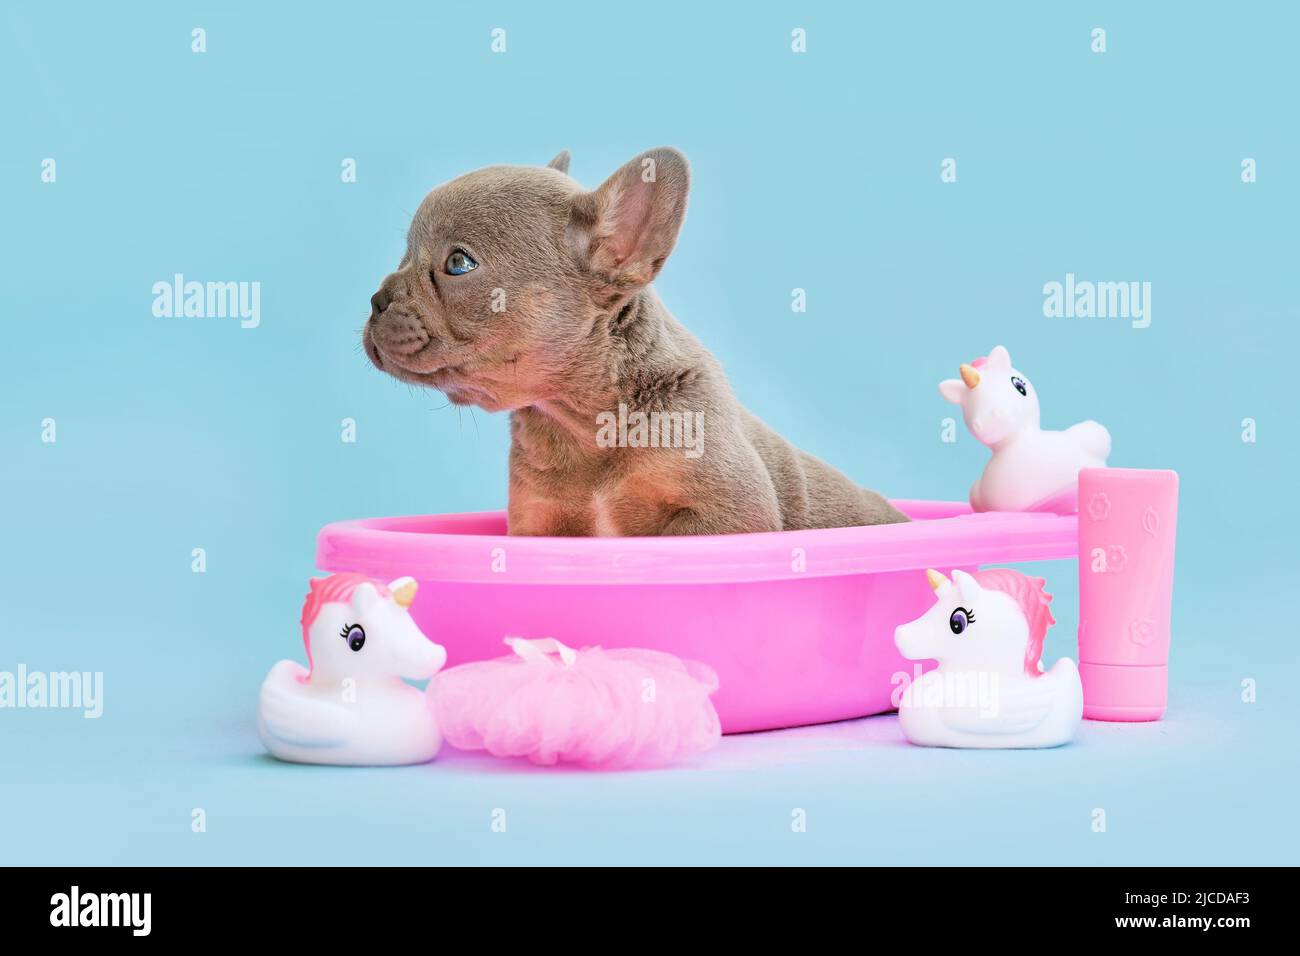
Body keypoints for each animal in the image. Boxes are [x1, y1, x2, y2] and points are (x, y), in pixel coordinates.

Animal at [364, 149, 904, 538]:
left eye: (458, 264)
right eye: (404, 254)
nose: (376, 299)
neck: (578, 420)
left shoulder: (725, 513)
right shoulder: (538, 524)